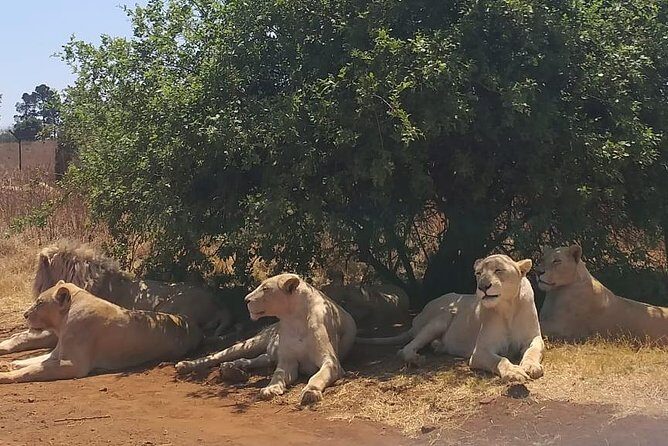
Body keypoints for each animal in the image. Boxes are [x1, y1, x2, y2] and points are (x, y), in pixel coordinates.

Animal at [0, 282, 202, 383]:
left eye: (40, 302)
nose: (25, 314)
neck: (62, 322)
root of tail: (191, 324)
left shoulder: (74, 365)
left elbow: (32, 370)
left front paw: (6, 375)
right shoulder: (58, 353)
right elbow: (34, 360)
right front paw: (12, 364)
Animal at [178, 273, 357, 405]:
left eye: (265, 288)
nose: (246, 300)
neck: (294, 319)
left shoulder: (331, 362)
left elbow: (317, 376)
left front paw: (310, 392)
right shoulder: (288, 362)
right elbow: (277, 375)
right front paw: (271, 388)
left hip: (269, 354)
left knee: (256, 359)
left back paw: (233, 367)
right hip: (252, 343)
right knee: (218, 355)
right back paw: (187, 365)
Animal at [358, 255, 544, 383]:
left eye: (499, 270)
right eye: (478, 273)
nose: (482, 287)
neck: (508, 308)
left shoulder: (534, 337)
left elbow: (534, 350)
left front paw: (530, 366)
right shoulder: (480, 351)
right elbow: (500, 360)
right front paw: (514, 372)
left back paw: (438, 346)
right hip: (444, 315)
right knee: (404, 349)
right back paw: (417, 358)